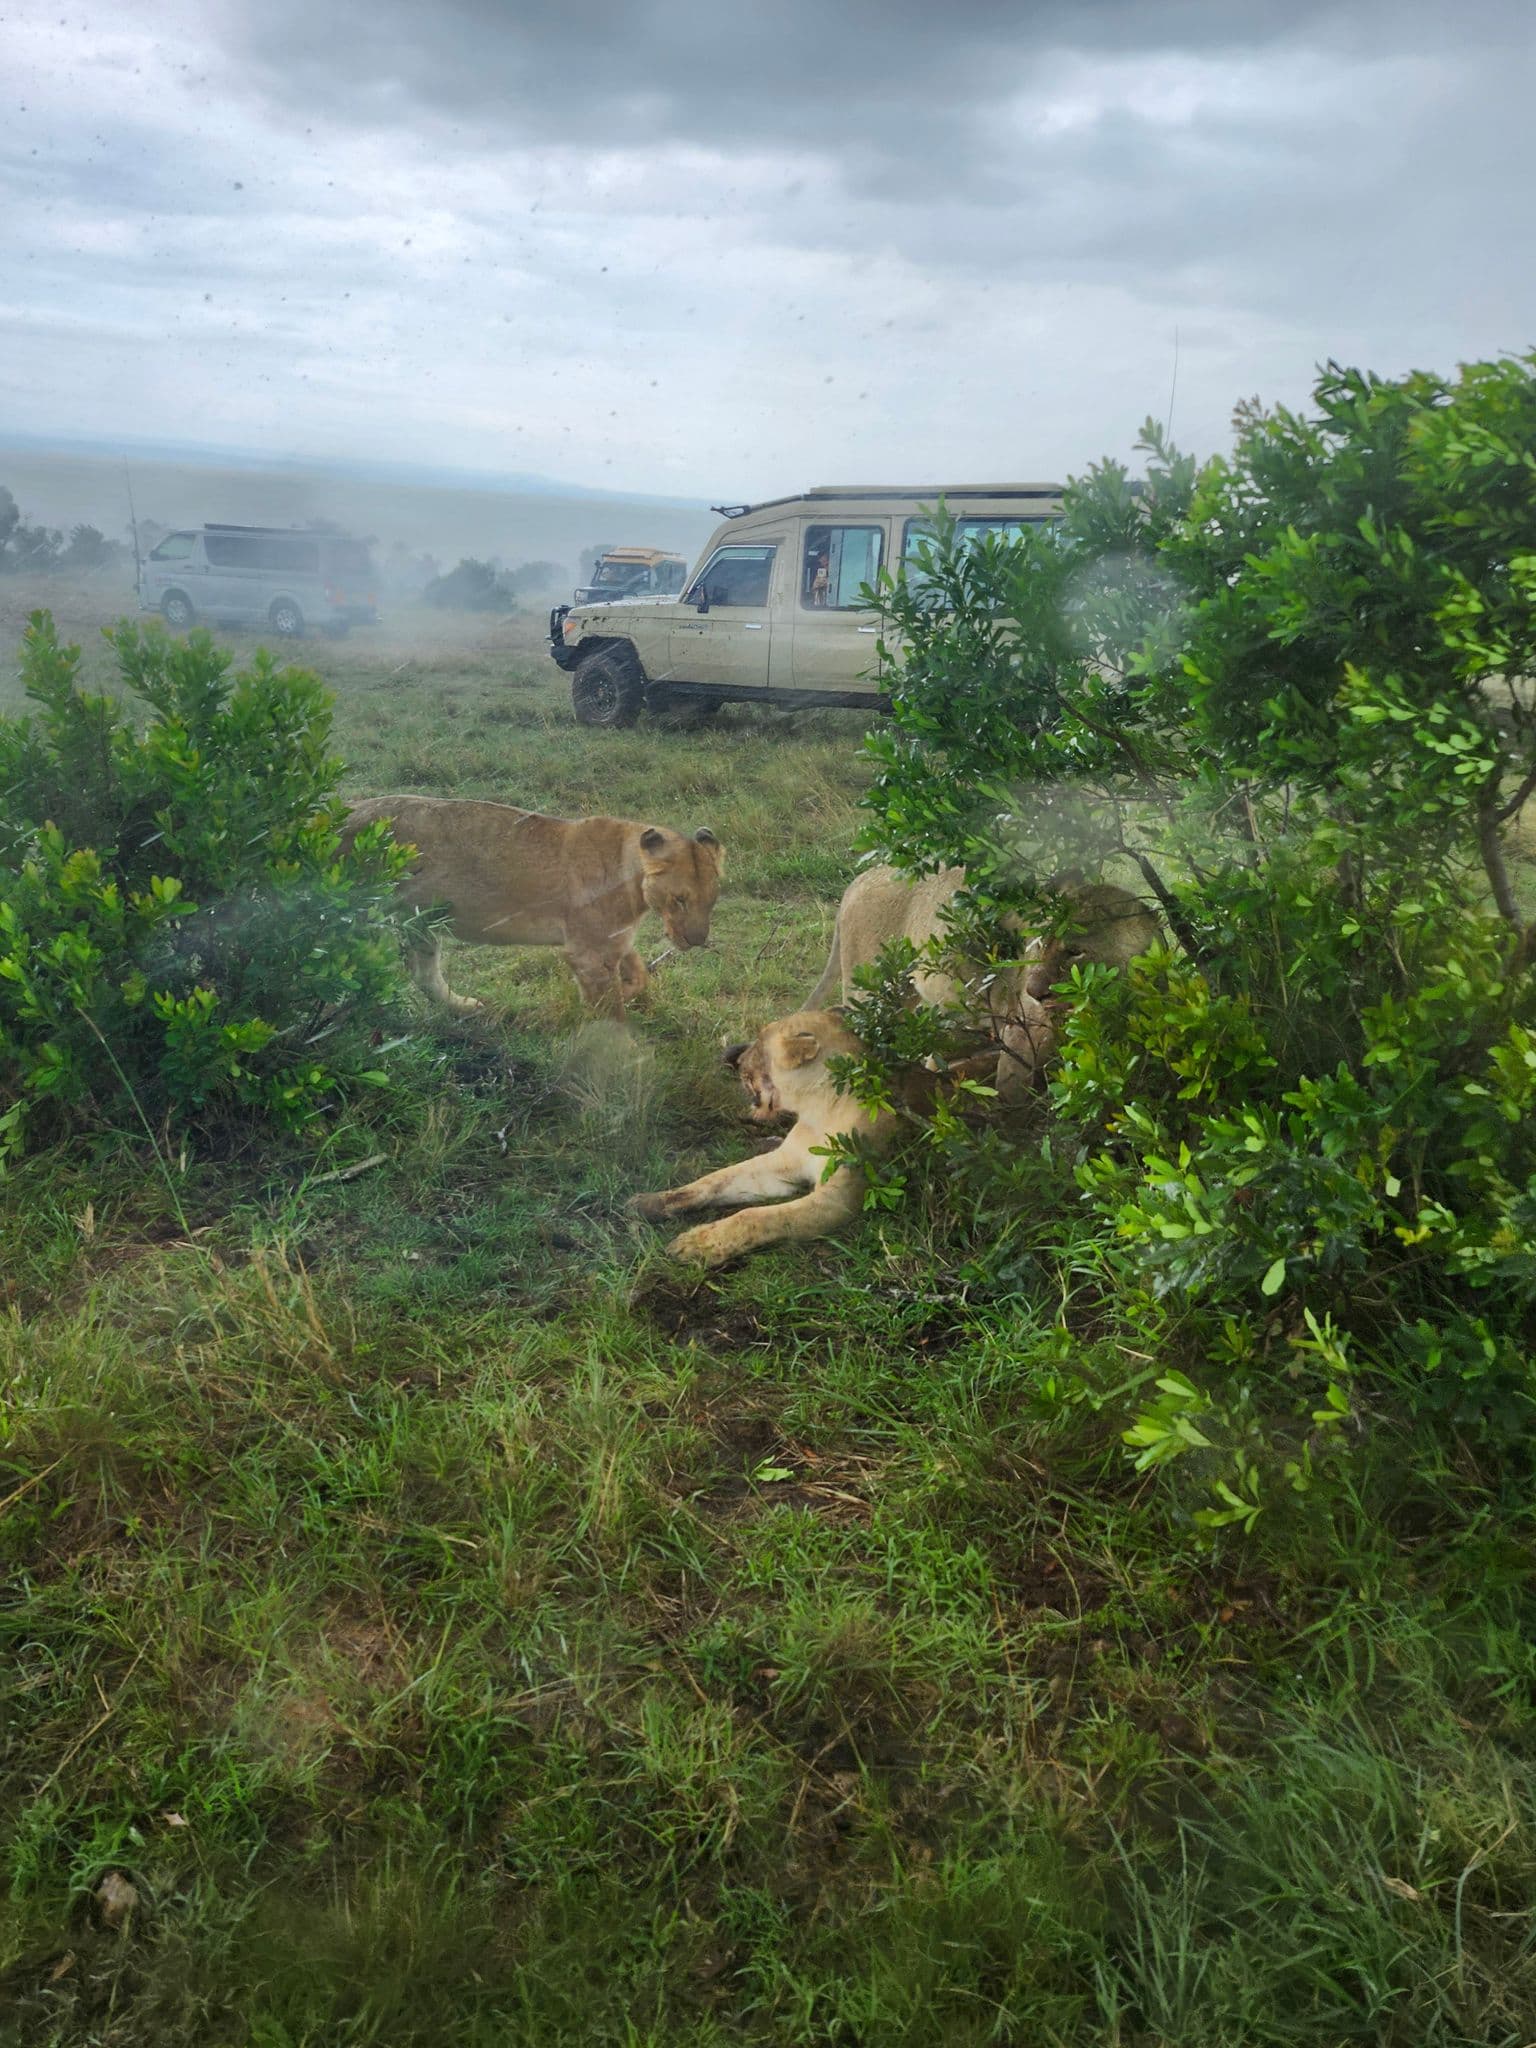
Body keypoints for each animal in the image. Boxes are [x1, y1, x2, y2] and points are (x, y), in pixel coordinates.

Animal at [341, 794, 724, 1017]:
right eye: (679, 899)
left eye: (712, 901)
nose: (697, 941)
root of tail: (344, 808)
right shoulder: (586, 951)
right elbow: (610, 1011)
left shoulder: (615, 940)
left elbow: (639, 975)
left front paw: (627, 991)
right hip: (360, 911)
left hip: (421, 919)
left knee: (423, 972)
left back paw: (463, 1007)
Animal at [629, 1010, 903, 1268]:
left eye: (760, 1040)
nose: (736, 1060)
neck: (819, 1109)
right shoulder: (782, 1165)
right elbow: (714, 1180)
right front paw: (649, 1202)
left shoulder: (838, 1200)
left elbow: (755, 1216)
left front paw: (697, 1244)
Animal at [808, 864, 1161, 1097]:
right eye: (1036, 944)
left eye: (1074, 951)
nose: (1034, 992)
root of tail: (858, 880)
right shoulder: (1021, 1034)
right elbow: (1013, 1097)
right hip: (869, 994)